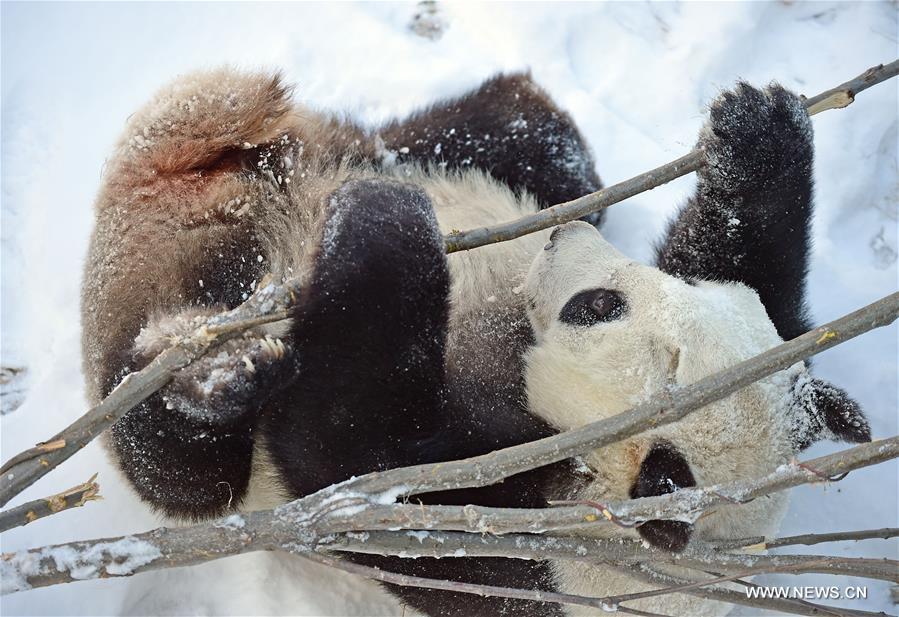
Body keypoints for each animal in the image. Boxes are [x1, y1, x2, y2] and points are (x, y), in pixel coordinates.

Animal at [80, 69, 871, 616]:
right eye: (619, 292)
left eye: (596, 306)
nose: (559, 238)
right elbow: (762, 291)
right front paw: (760, 136)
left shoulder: (505, 550)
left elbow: (345, 457)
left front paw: (386, 234)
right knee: (505, 142)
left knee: (175, 460)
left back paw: (215, 376)